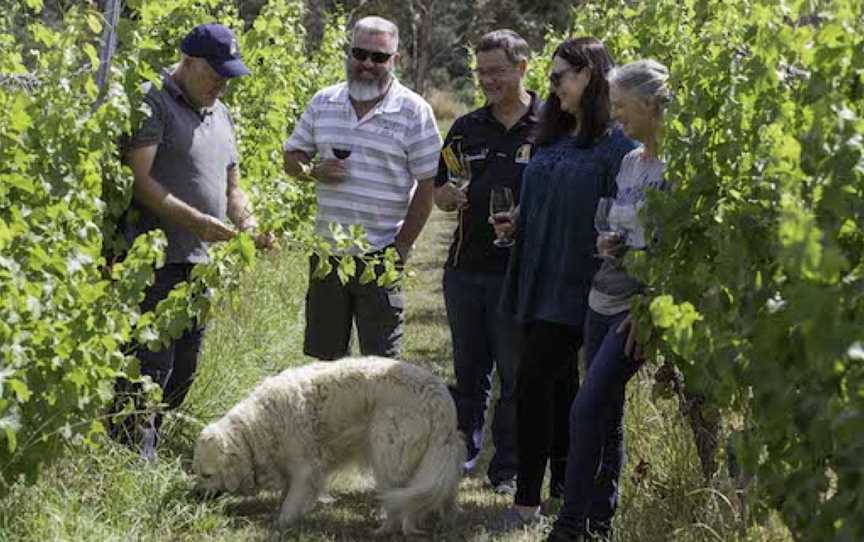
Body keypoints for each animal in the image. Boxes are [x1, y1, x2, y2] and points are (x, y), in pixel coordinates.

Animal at [193, 356, 470, 536]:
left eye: (207, 475)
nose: (194, 495)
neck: (260, 426)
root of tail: (439, 397)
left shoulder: (305, 469)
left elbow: (291, 501)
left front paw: (281, 523)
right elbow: (287, 494)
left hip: (386, 455)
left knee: (397, 504)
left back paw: (382, 530)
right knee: (443, 494)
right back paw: (448, 521)